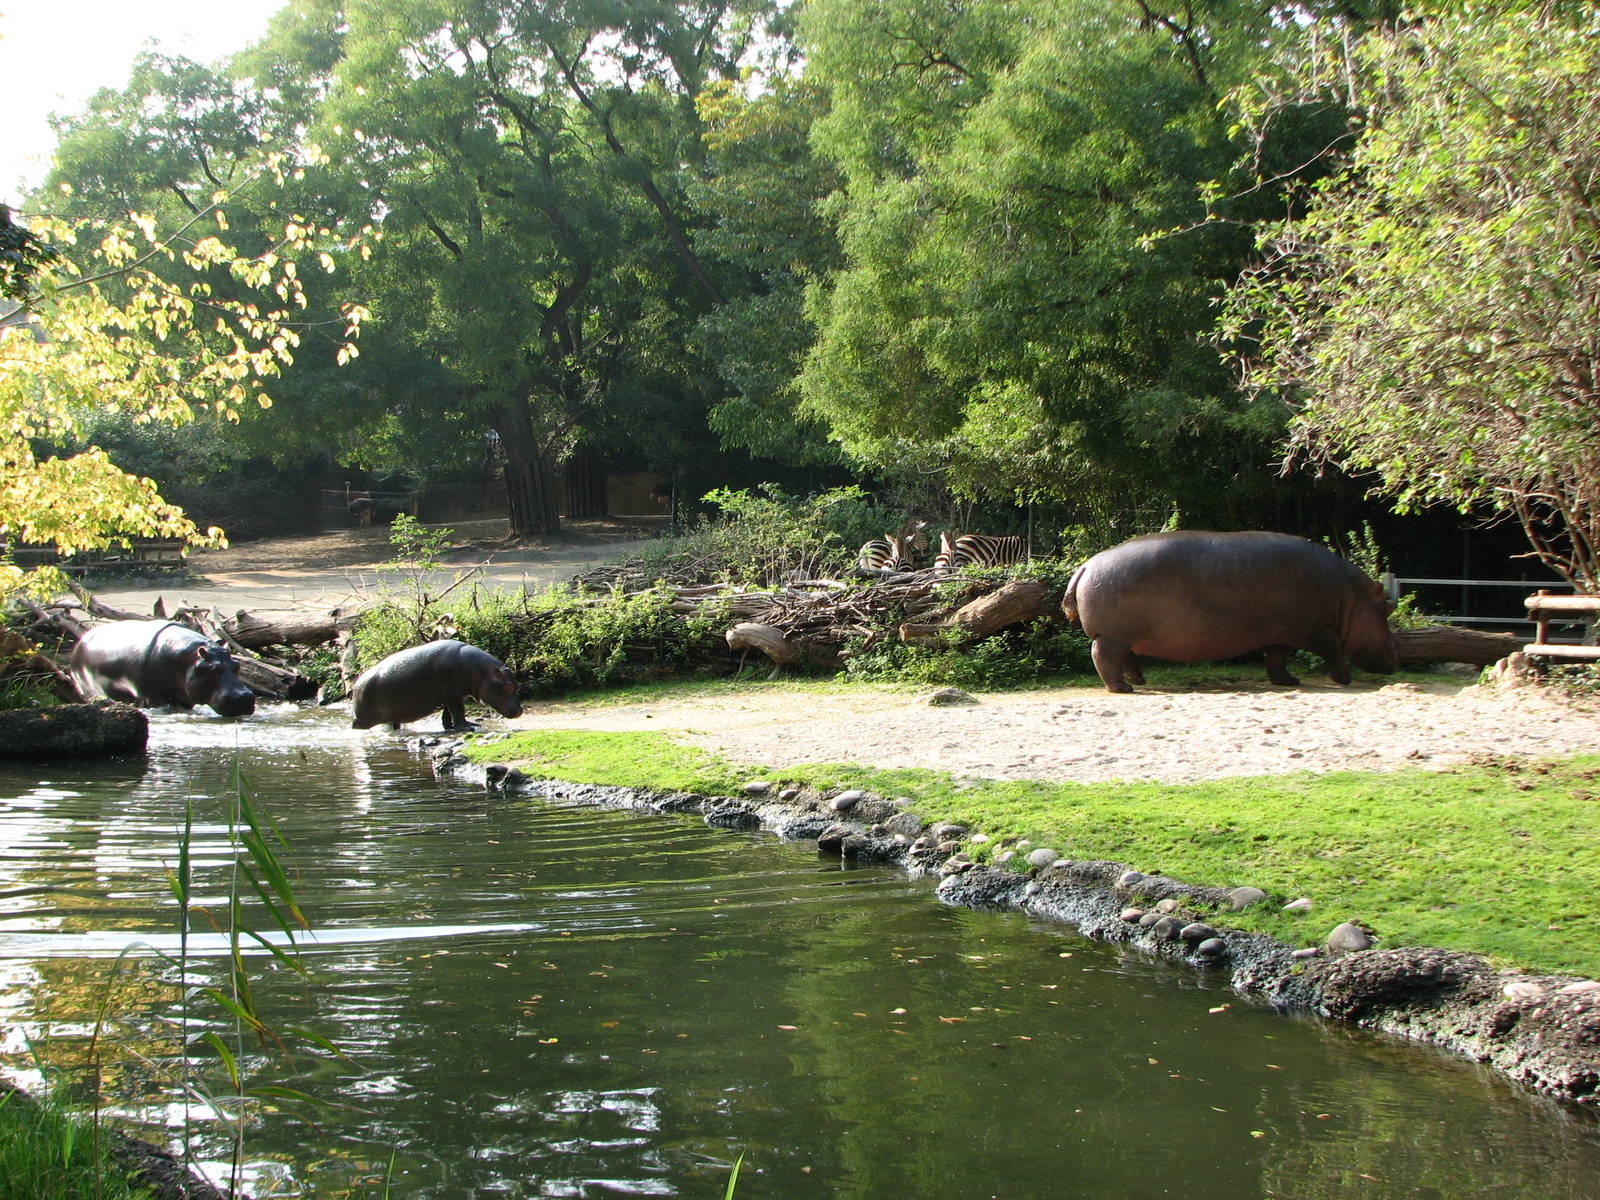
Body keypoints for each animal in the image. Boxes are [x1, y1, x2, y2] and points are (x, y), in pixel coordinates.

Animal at [70, 620, 257, 717]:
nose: (245, 697)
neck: (187, 660)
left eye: (237, 666)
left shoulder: (185, 698)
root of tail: (81, 641)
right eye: (214, 669)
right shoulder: (153, 697)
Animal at [351, 639, 522, 731]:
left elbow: (447, 714)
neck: (480, 671)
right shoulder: (453, 695)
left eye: (517, 684)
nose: (520, 711)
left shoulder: (451, 696)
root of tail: (356, 684)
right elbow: (458, 711)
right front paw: (466, 728)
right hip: (364, 719)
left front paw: (453, 727)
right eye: (508, 687)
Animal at [1063, 531, 1400, 693]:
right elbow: (1334, 649)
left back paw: (1139, 681)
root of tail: (1086, 565)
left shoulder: (1279, 633)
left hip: (1123, 635)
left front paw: (1289, 682)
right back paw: (1125, 689)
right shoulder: (1314, 630)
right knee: (1104, 658)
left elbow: (1276, 658)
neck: (1350, 598)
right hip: (1112, 636)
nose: (1396, 656)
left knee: (1125, 658)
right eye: (1386, 608)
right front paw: (1343, 680)